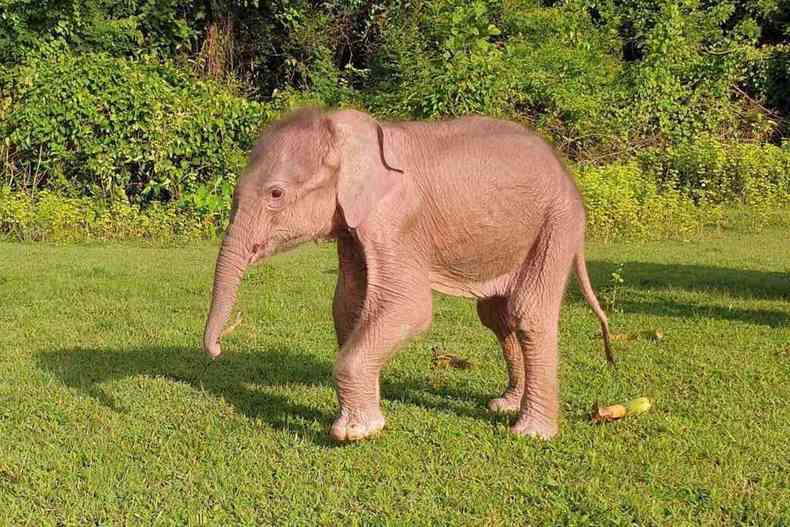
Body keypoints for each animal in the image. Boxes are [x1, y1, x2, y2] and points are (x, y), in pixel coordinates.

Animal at [203, 109, 612, 444]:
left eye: (276, 194)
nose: (218, 350)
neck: (350, 131)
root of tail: (567, 172)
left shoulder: (398, 219)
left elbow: (407, 307)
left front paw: (355, 433)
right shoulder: (354, 226)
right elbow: (348, 304)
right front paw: (364, 416)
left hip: (557, 222)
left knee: (529, 313)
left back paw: (531, 432)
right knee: (497, 315)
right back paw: (505, 405)